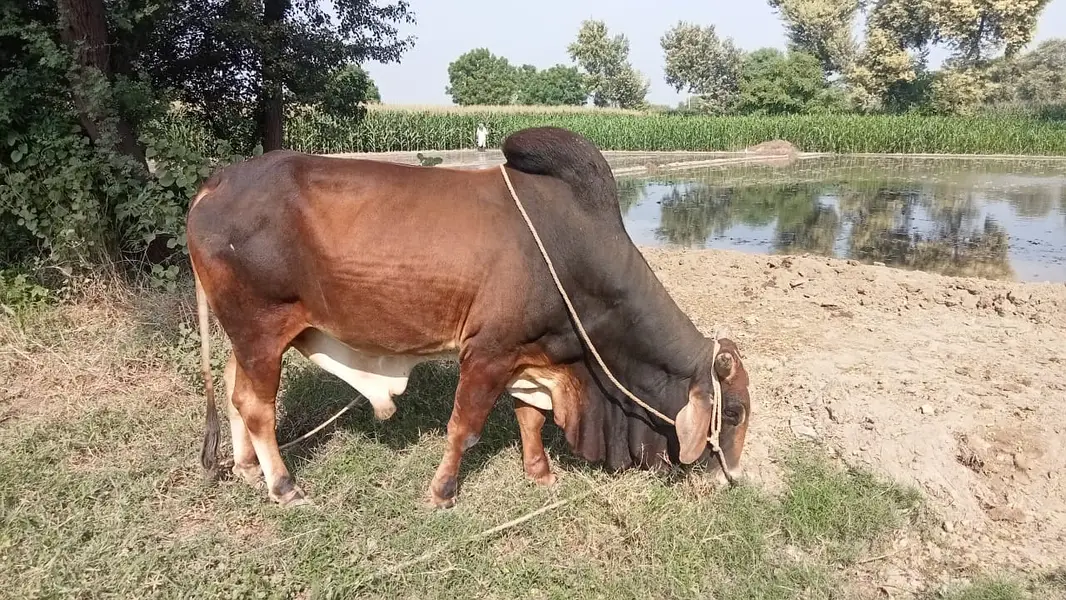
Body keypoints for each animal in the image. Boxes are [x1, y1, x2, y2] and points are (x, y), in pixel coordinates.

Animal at [186, 126, 751, 508]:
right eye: (735, 413)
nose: (733, 477)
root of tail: (218, 180)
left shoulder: (528, 354)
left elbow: (530, 417)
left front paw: (540, 474)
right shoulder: (487, 353)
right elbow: (465, 426)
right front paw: (442, 491)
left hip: (249, 335)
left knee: (235, 390)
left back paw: (247, 469)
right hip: (261, 327)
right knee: (256, 406)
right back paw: (283, 485)